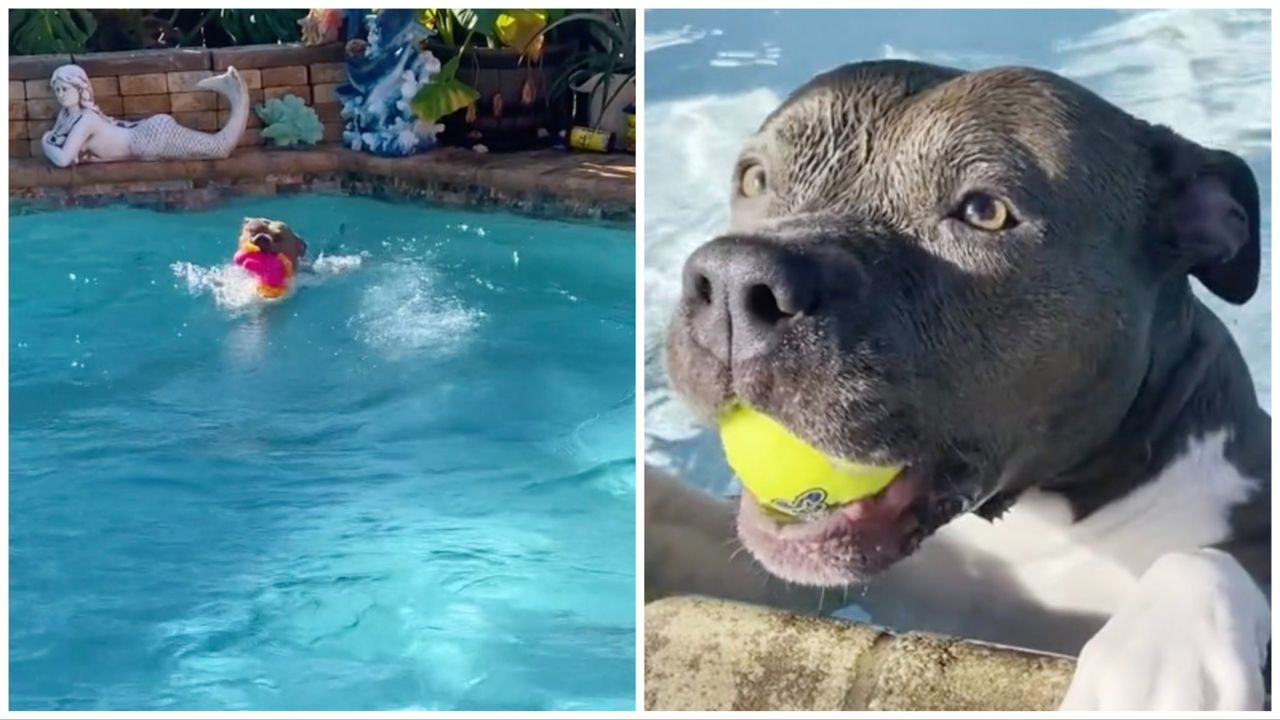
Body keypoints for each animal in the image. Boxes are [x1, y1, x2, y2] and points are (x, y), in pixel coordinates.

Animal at [655, 60, 1274, 707]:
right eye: (754, 178)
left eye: (985, 212)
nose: (732, 282)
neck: (1034, 522)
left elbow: (1205, 559)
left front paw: (1159, 662)